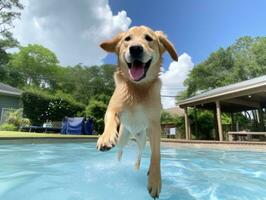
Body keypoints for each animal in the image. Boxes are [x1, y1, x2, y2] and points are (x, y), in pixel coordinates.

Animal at [96, 25, 178, 198]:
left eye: (148, 38)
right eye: (127, 39)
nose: (135, 49)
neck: (137, 87)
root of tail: (133, 133)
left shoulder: (154, 126)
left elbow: (156, 155)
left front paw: (155, 179)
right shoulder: (113, 109)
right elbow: (110, 118)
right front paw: (105, 137)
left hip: (142, 140)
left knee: (139, 155)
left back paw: (138, 167)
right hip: (122, 137)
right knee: (120, 150)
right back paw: (117, 161)